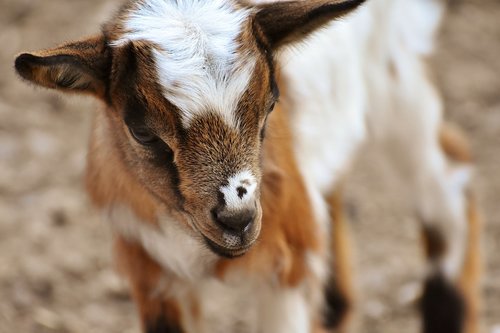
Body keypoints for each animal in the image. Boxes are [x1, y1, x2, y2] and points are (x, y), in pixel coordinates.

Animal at [15, 0, 482, 330]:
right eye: (141, 131)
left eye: (270, 104)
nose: (237, 218)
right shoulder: (151, 268)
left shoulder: (286, 264)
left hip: (394, 72)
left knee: (449, 168)